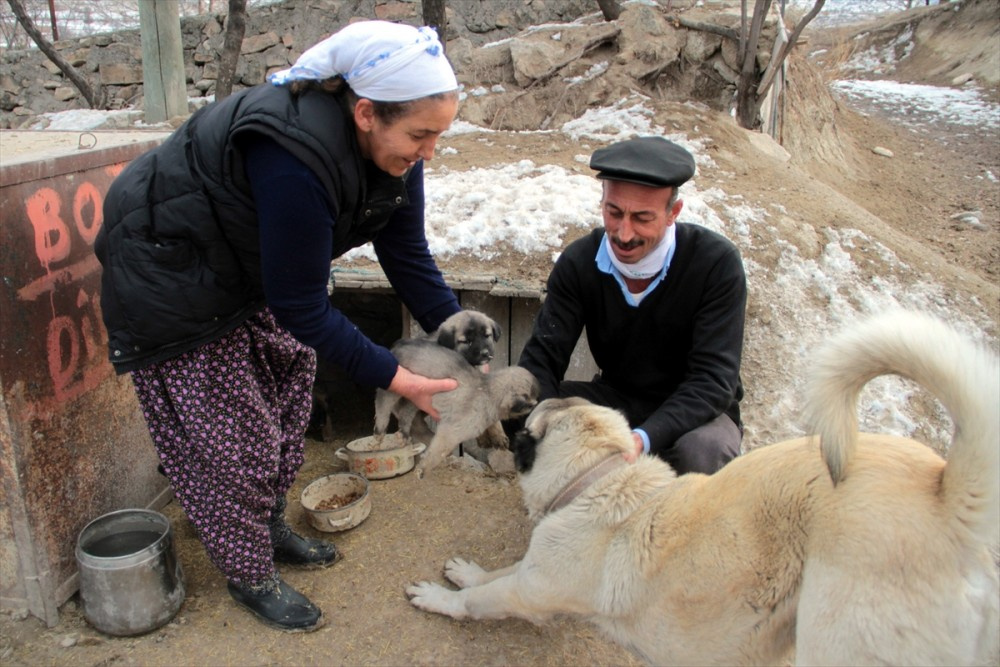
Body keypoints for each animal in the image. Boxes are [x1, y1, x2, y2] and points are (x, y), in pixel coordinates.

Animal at [374, 342, 540, 478]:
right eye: (530, 404)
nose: (537, 404)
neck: (487, 391)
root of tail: (396, 347)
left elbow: (494, 424)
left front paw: (497, 437)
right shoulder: (450, 432)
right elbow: (437, 452)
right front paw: (423, 469)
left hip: (414, 397)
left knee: (408, 416)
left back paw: (404, 433)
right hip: (398, 389)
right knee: (383, 401)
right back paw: (380, 429)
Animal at [406, 314, 1000, 667]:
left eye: (526, 427)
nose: (510, 434)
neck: (603, 480)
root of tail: (949, 495)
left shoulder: (532, 589)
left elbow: (481, 599)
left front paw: (441, 598)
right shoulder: (532, 567)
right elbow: (493, 573)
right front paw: (465, 571)